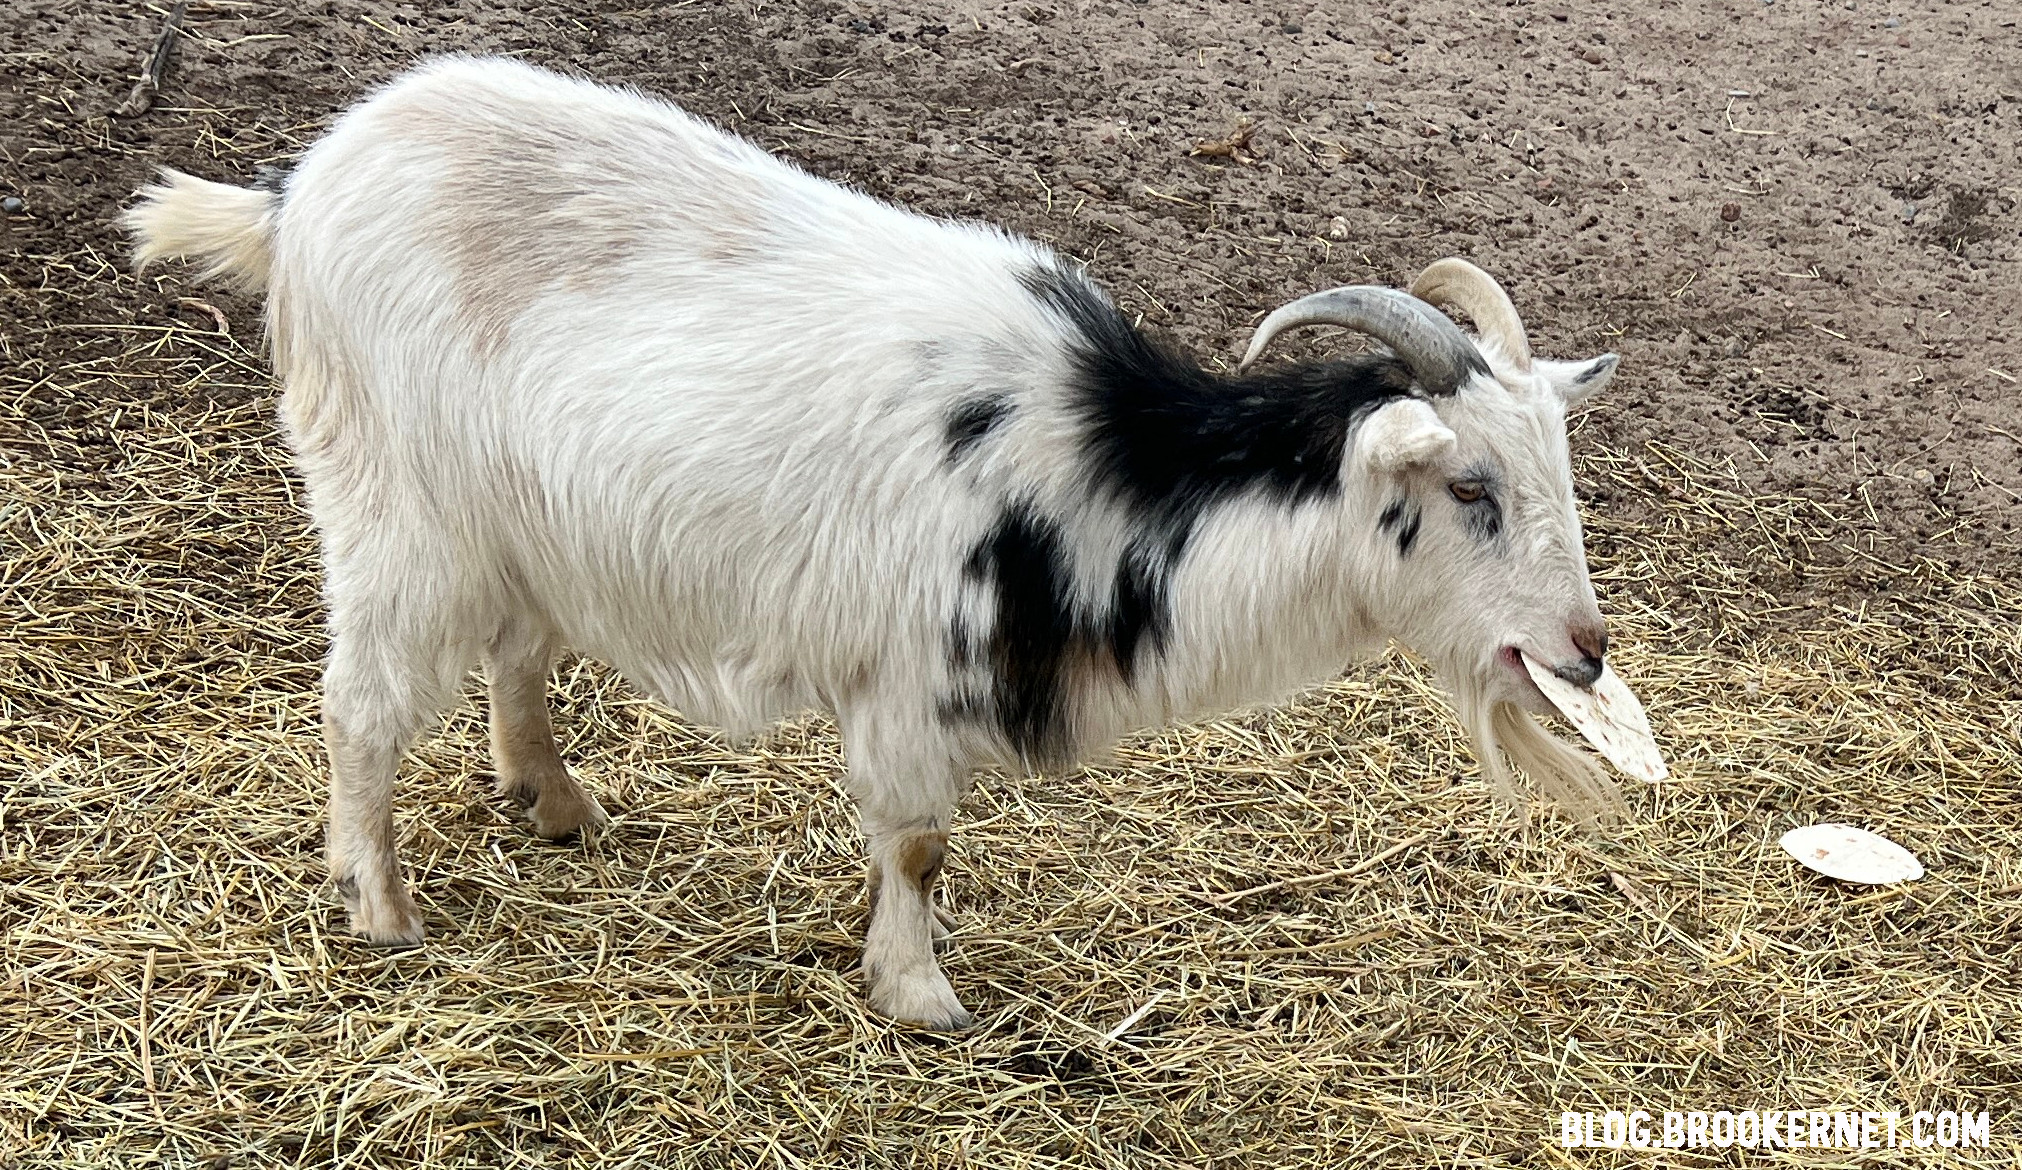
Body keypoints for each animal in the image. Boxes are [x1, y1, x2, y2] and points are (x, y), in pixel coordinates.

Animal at [126, 56, 1628, 1029]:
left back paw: (553, 802)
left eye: (1555, 474)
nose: (1584, 646)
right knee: (363, 700)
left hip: (523, 517)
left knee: (515, 652)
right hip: (399, 505)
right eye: (1472, 487)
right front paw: (919, 995)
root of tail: (300, 188)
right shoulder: (908, 679)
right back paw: (378, 903)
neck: (1095, 466)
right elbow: (914, 845)